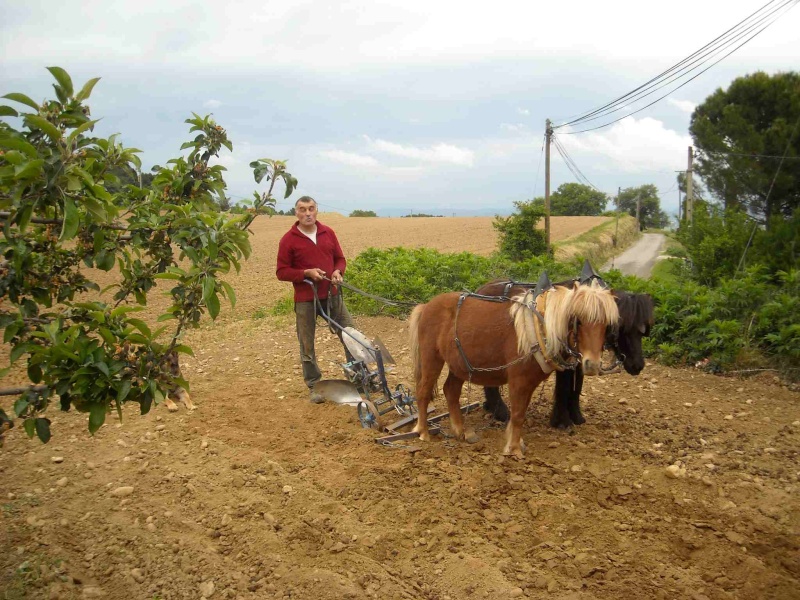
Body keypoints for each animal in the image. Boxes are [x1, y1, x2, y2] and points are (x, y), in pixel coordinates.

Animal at [410, 280, 616, 454]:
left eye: (606, 325)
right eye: (578, 320)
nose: (592, 364)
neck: (538, 328)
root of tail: (426, 306)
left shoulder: (530, 382)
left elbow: (521, 412)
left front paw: (516, 443)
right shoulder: (518, 380)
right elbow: (517, 414)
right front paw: (514, 449)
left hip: (458, 364)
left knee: (451, 391)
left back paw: (461, 431)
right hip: (432, 358)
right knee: (423, 391)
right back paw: (423, 432)